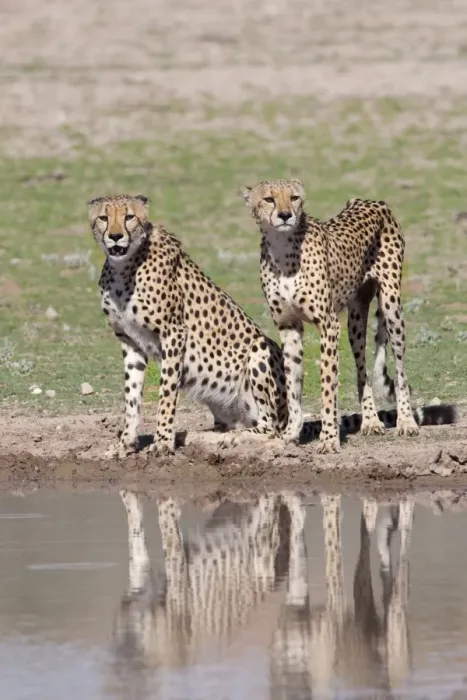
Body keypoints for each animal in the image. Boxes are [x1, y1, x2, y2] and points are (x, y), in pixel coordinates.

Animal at [87, 193, 291, 458]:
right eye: (103, 218)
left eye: (129, 217)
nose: (115, 235)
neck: (125, 267)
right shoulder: (130, 341)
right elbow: (131, 397)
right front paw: (126, 443)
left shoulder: (173, 333)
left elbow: (166, 392)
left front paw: (163, 442)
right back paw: (202, 437)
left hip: (260, 349)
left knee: (270, 428)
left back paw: (234, 438)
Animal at [242, 178, 419, 453]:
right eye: (269, 199)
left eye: (294, 198)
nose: (285, 215)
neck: (282, 249)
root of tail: (370, 200)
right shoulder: (289, 327)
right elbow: (293, 386)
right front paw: (291, 434)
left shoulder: (328, 325)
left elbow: (327, 386)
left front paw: (328, 439)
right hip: (355, 319)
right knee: (362, 370)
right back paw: (371, 421)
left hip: (391, 306)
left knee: (401, 370)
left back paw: (407, 422)